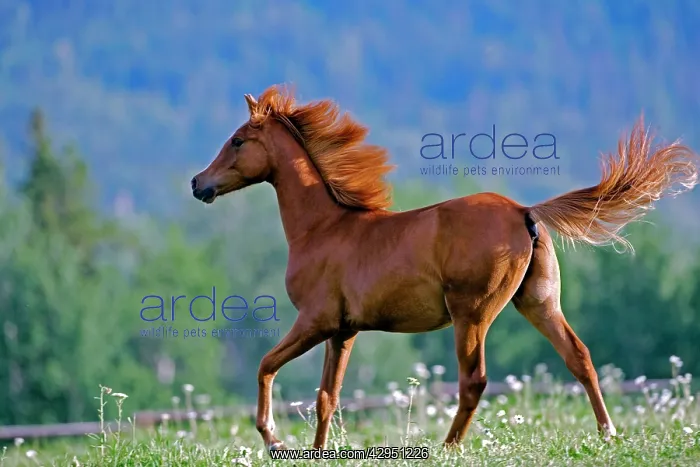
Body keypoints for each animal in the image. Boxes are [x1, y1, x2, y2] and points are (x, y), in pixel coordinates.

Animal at [191, 84, 699, 453]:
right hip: (538, 303)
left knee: (474, 380)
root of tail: (525, 211)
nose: (198, 184)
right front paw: (314, 452)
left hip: (470, 313)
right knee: (580, 357)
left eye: (238, 140)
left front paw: (273, 438)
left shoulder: (315, 321)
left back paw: (446, 447)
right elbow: (326, 398)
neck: (325, 228)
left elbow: (266, 366)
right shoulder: (343, 330)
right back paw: (607, 433)